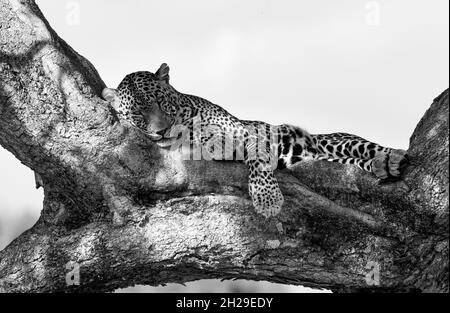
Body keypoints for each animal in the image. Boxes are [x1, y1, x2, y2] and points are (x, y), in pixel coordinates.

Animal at [101, 63, 408, 217]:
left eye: (160, 101)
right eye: (138, 113)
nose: (162, 131)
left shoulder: (250, 134)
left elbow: (257, 162)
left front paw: (268, 200)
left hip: (331, 141)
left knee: (362, 147)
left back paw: (391, 157)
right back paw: (382, 165)